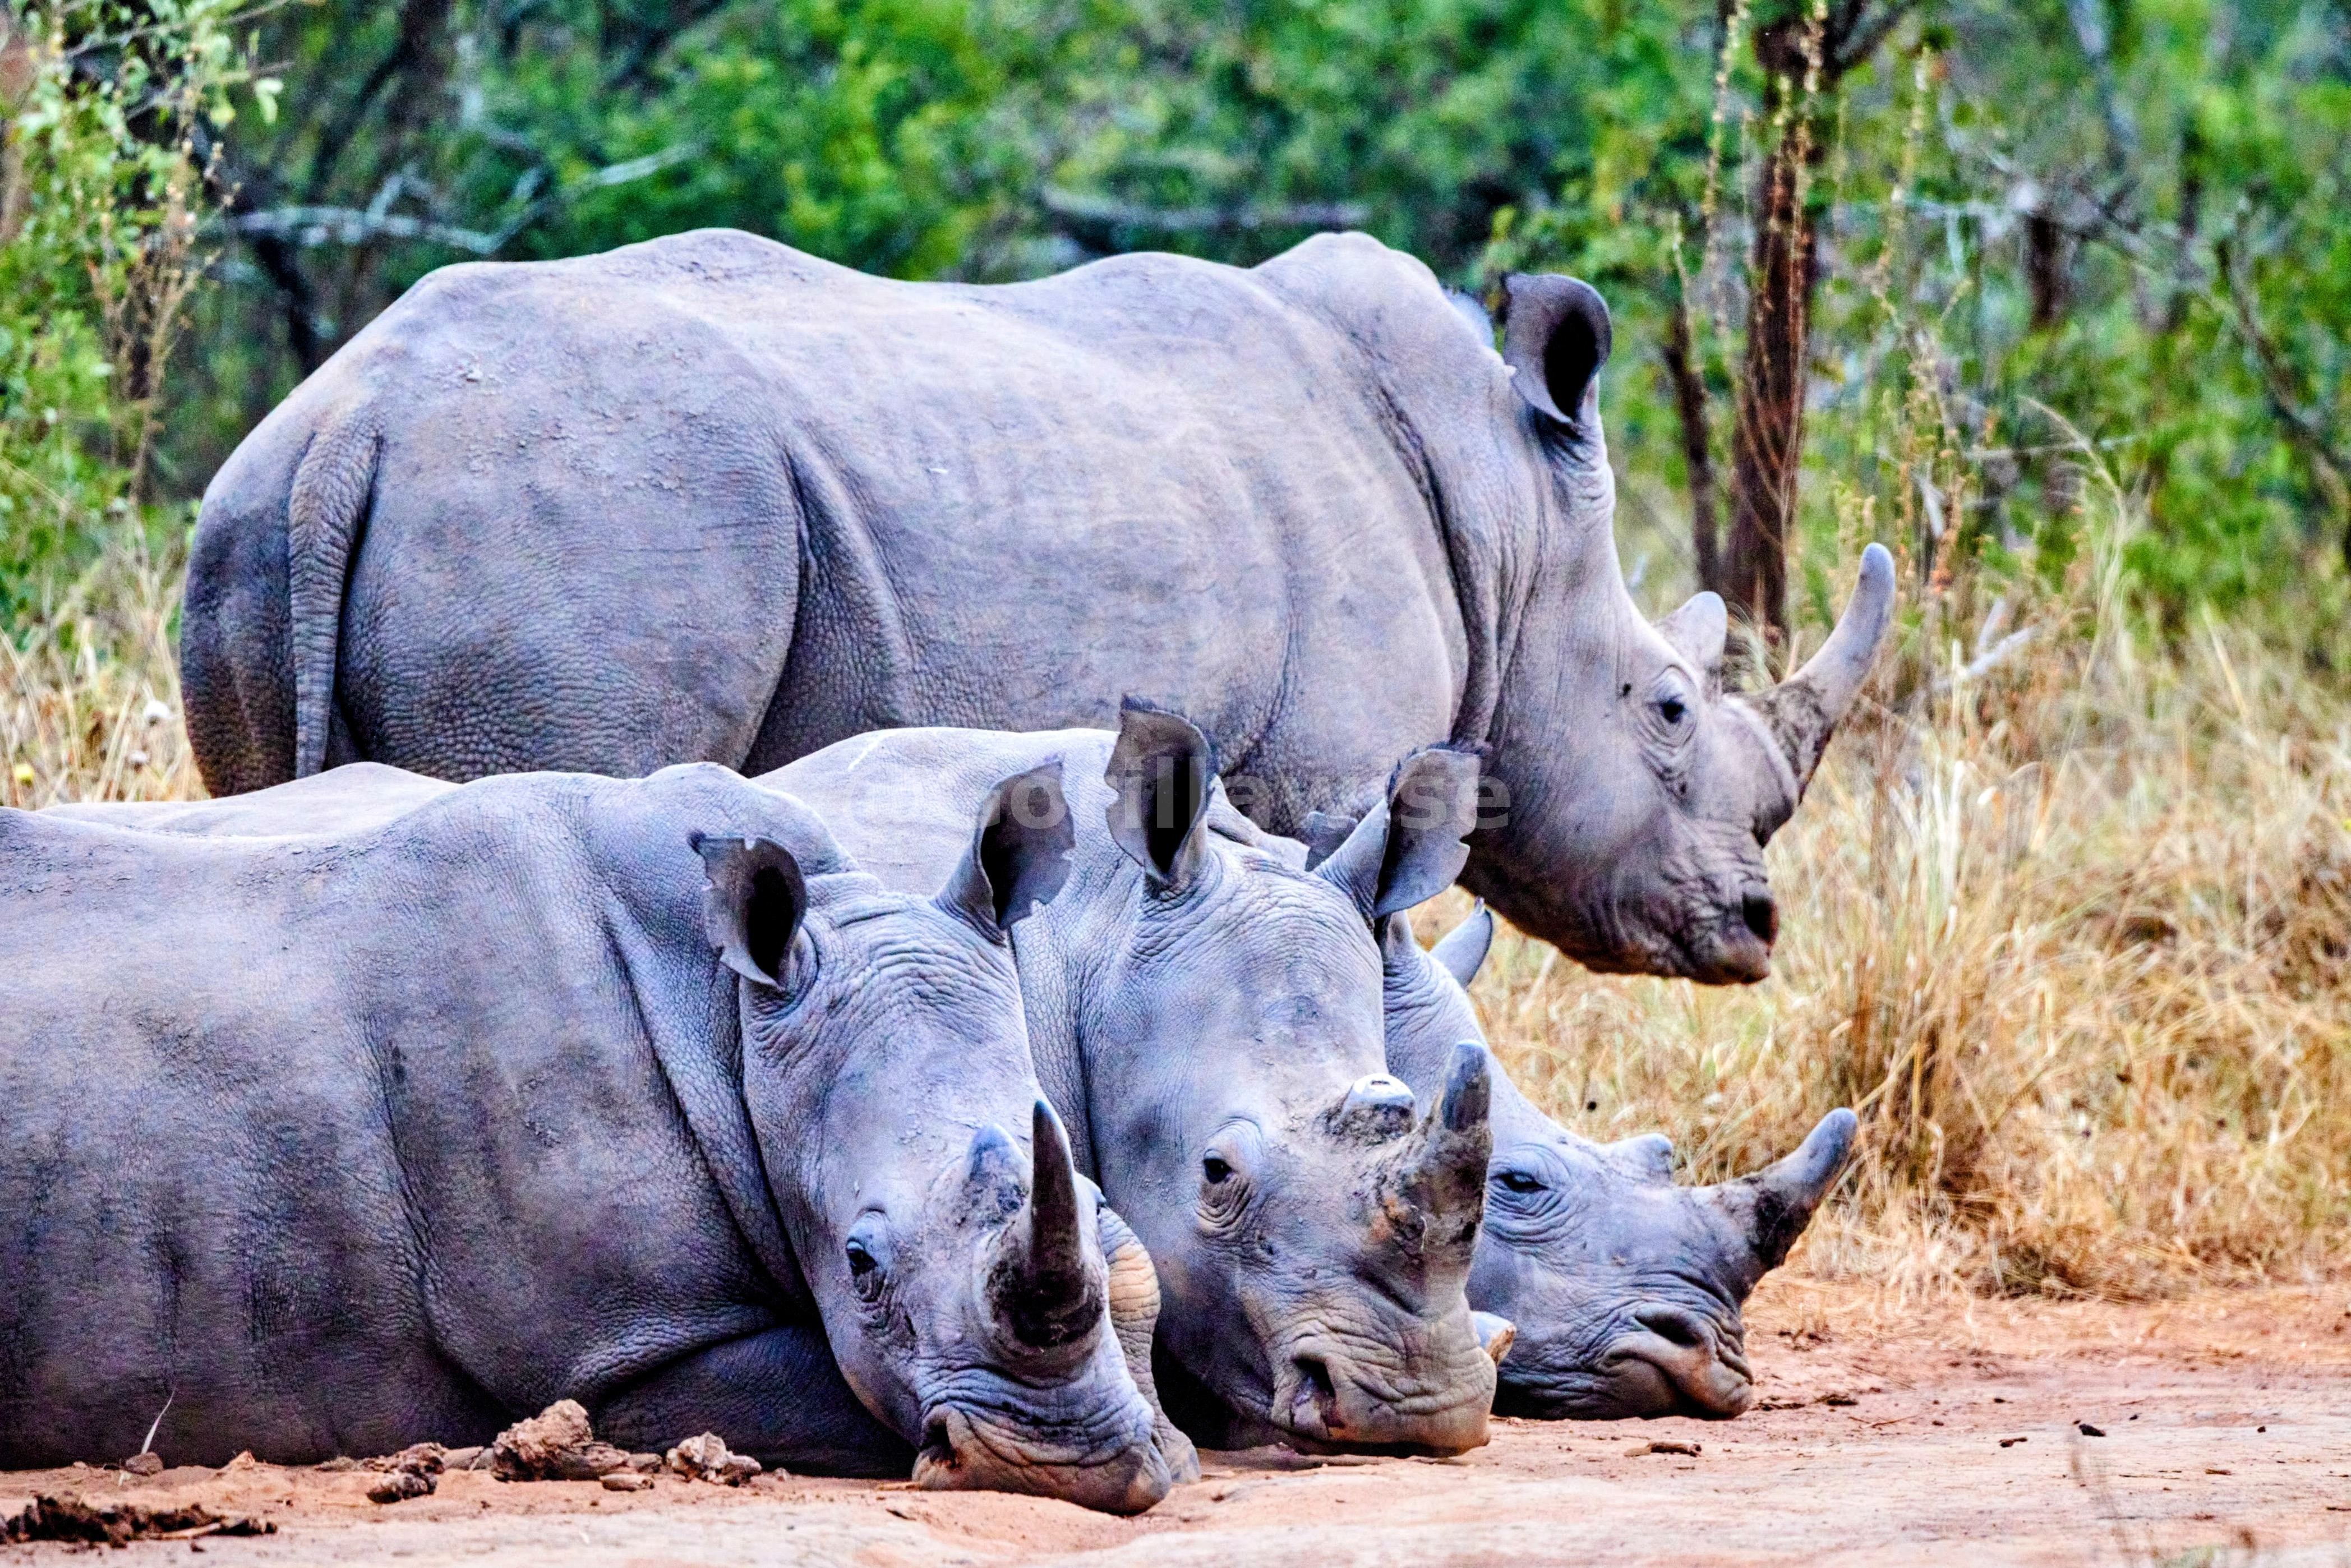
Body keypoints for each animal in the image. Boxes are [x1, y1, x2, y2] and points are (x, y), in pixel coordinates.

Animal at [2, 762, 1185, 1512]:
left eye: (1090, 1195)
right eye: (859, 1264)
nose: (1062, 1466)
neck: (735, 1021)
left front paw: (1159, 1436)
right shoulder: (620, 1343)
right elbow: (831, 1391)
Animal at [179, 228, 1893, 984]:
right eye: (1663, 708)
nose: (1755, 926)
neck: (1512, 520)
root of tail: (353, 429)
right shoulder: (1337, 771)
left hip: (252, 529)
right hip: (586, 522)